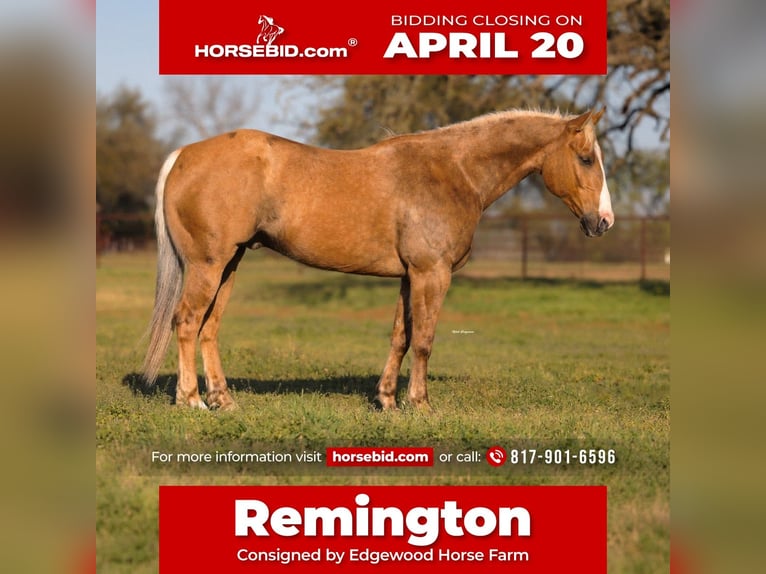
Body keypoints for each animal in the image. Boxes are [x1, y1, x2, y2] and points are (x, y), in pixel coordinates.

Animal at [142, 109, 613, 411]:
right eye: (586, 158)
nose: (603, 221)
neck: (453, 172)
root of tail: (183, 155)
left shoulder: (409, 277)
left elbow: (400, 337)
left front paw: (387, 399)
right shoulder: (432, 274)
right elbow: (423, 340)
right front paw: (420, 405)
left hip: (230, 264)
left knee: (209, 328)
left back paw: (223, 399)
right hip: (208, 265)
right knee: (187, 322)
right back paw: (191, 400)